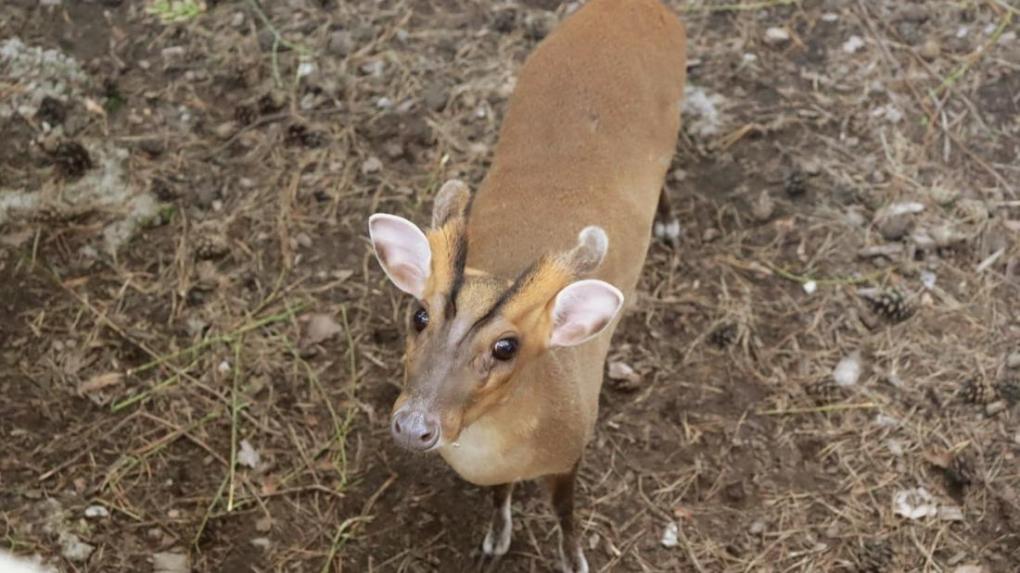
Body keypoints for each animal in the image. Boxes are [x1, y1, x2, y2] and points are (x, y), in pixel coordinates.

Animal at [367, 0, 685, 566]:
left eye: (507, 346)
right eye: (419, 315)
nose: (414, 426)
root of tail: (633, 7)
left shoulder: (573, 447)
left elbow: (565, 515)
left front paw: (575, 560)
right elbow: (499, 497)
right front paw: (495, 540)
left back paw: (668, 224)